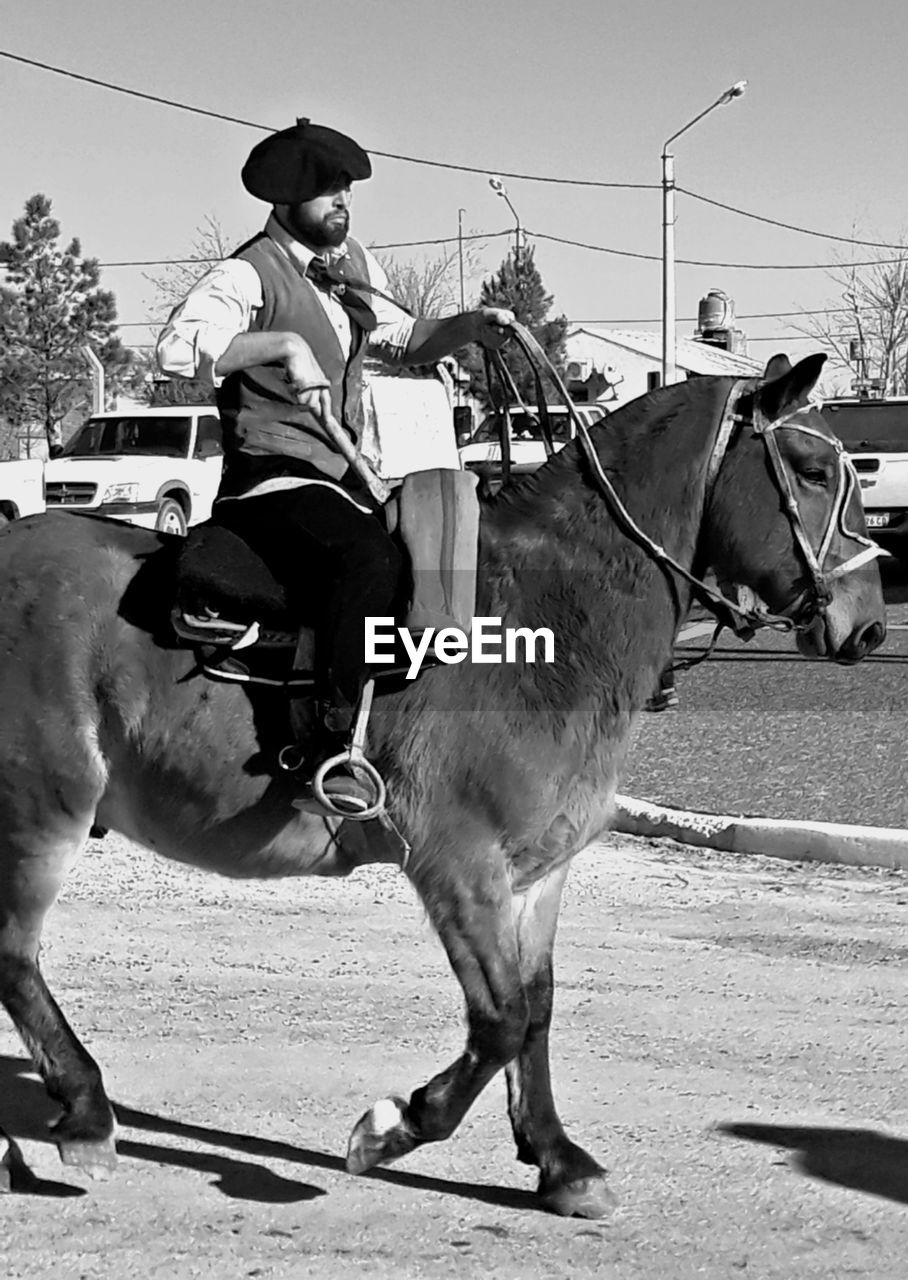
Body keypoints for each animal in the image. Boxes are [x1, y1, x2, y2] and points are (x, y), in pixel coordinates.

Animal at [0, 355, 886, 1213]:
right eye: (811, 469)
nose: (871, 624)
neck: (542, 621)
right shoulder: (460, 866)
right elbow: (500, 1021)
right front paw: (396, 1126)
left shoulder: (537, 873)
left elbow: (537, 1009)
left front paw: (557, 1159)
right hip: (43, 809)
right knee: (14, 952)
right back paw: (86, 1110)